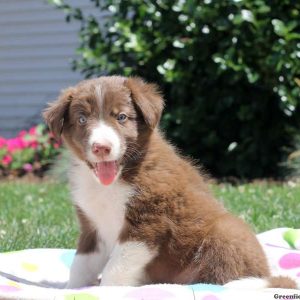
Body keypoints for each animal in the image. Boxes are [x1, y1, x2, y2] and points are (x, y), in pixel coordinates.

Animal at [43, 76, 298, 290]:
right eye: (82, 119)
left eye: (121, 117)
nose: (101, 147)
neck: (116, 179)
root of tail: (266, 272)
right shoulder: (92, 226)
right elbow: (80, 265)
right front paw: (70, 289)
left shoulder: (147, 223)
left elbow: (115, 268)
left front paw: (106, 291)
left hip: (227, 231)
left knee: (224, 276)